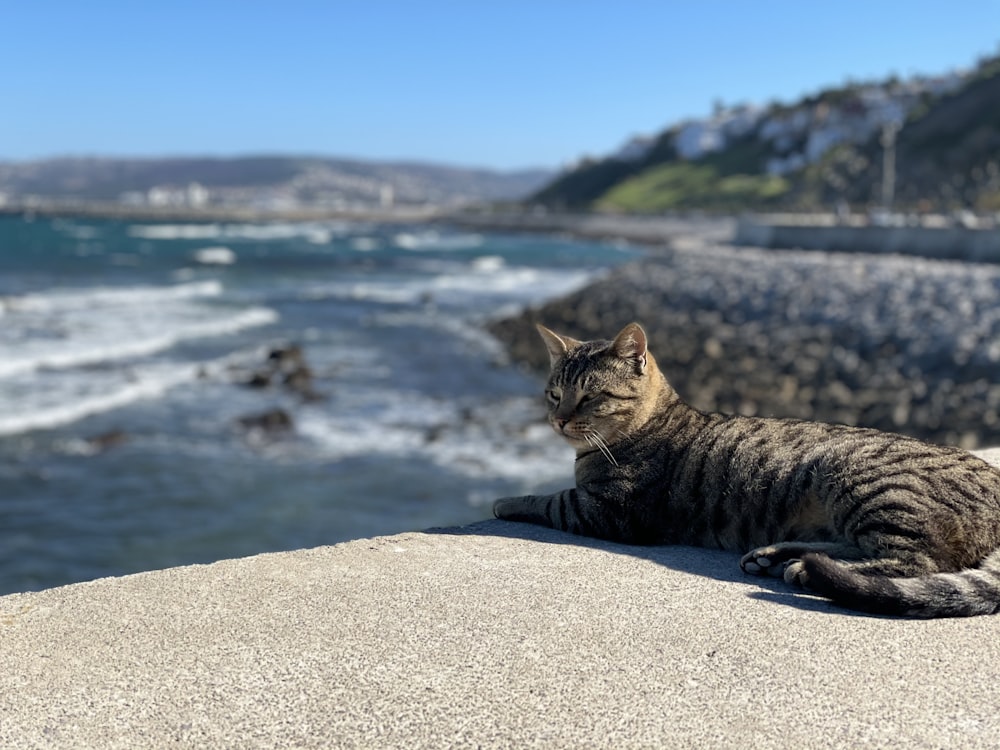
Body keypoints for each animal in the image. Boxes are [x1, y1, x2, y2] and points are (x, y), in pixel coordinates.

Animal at [494, 320, 1000, 620]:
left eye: (590, 397)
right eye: (554, 394)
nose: (558, 419)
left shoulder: (607, 510)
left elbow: (547, 500)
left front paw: (505, 500)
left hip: (864, 483)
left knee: (911, 562)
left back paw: (801, 570)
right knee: (851, 547)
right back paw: (775, 556)